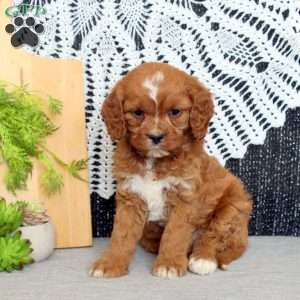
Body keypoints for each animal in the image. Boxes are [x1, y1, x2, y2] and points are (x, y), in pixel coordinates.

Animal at [89, 61, 253, 278]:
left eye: (175, 112)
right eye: (138, 113)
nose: (155, 136)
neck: (155, 161)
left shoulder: (185, 196)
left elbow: (175, 234)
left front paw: (169, 265)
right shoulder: (131, 196)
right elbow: (121, 235)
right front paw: (109, 264)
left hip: (234, 204)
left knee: (214, 235)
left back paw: (203, 259)